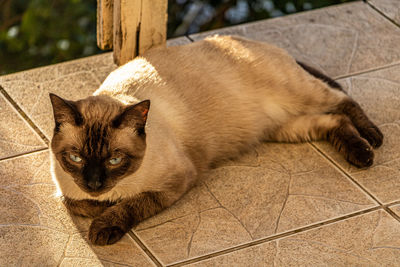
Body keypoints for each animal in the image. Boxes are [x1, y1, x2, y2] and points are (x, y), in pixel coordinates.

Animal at [48, 34, 382, 246]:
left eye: (115, 160)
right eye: (76, 158)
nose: (94, 183)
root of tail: (246, 39)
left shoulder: (177, 181)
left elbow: (130, 204)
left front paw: (104, 224)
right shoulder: (68, 192)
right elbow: (77, 203)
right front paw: (98, 207)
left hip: (301, 97)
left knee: (342, 100)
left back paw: (372, 141)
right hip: (286, 128)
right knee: (334, 121)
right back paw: (360, 153)